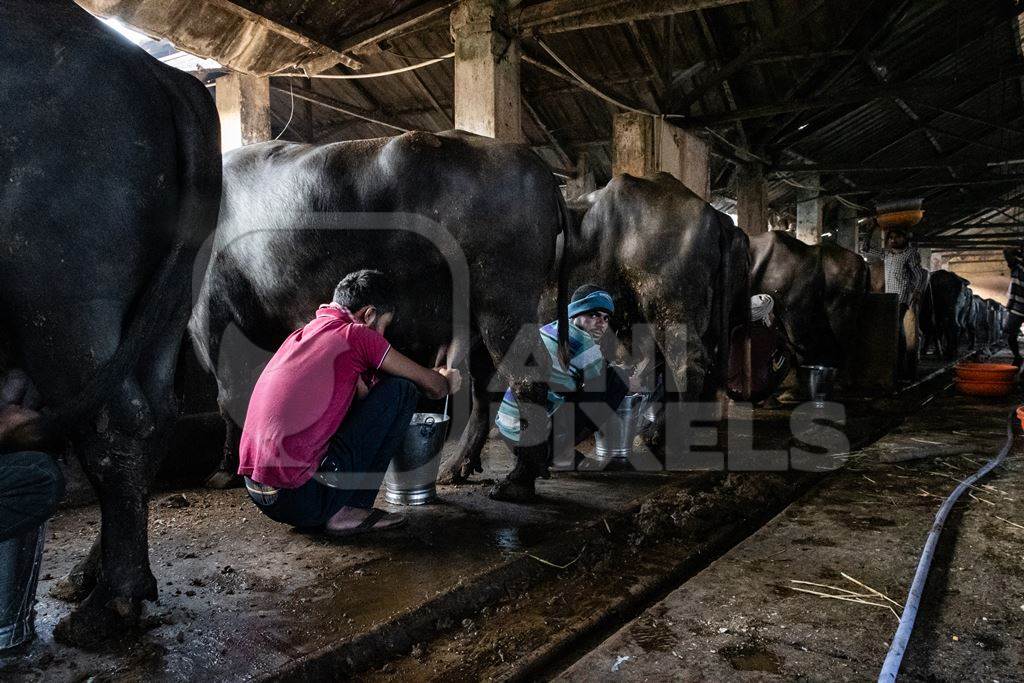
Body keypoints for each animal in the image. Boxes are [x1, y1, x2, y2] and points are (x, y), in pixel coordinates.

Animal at [0, 1, 220, 647]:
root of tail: (162, 75)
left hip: (60, 293)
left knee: (114, 423)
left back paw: (106, 607)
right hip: (166, 305)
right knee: (154, 412)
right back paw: (89, 580)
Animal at [192, 131, 573, 501]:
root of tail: (533, 163)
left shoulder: (215, 322)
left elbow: (230, 396)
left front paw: (224, 471)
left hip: (504, 306)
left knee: (525, 380)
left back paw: (517, 482)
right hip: (483, 317)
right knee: (486, 390)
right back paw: (458, 467)